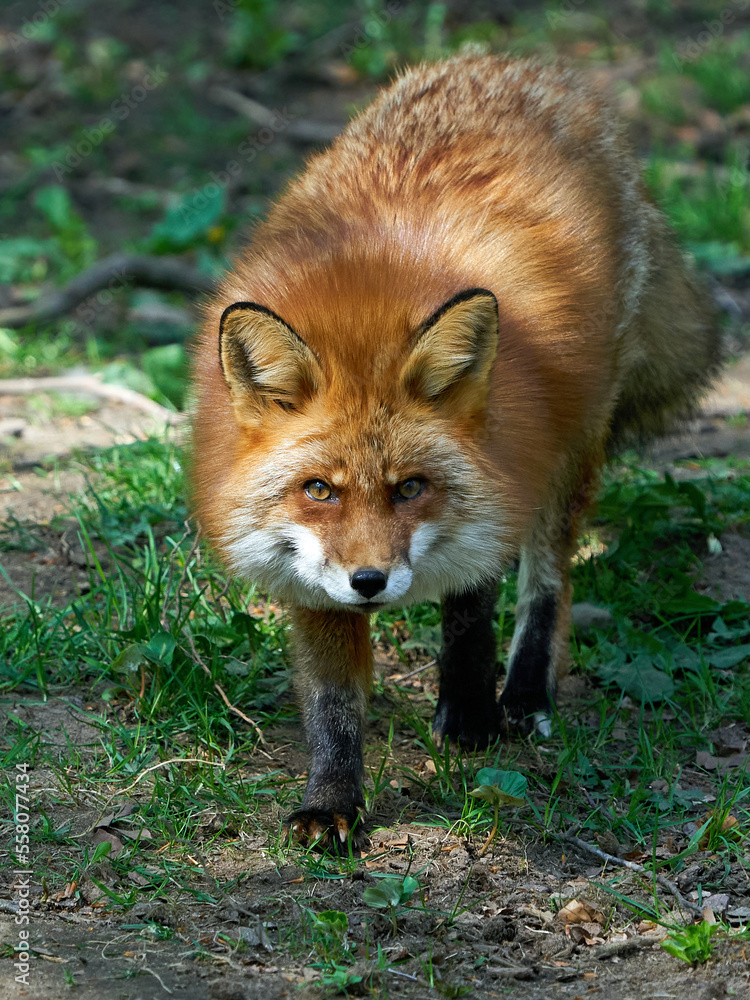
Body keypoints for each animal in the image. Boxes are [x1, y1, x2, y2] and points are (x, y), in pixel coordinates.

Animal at [191, 54, 721, 848]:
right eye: (319, 489)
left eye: (410, 487)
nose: (370, 582)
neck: (363, 303)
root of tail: (514, 64)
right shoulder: (311, 579)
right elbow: (334, 706)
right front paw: (333, 801)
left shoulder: (504, 481)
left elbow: (476, 601)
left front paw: (470, 708)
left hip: (570, 448)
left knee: (544, 581)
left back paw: (520, 694)